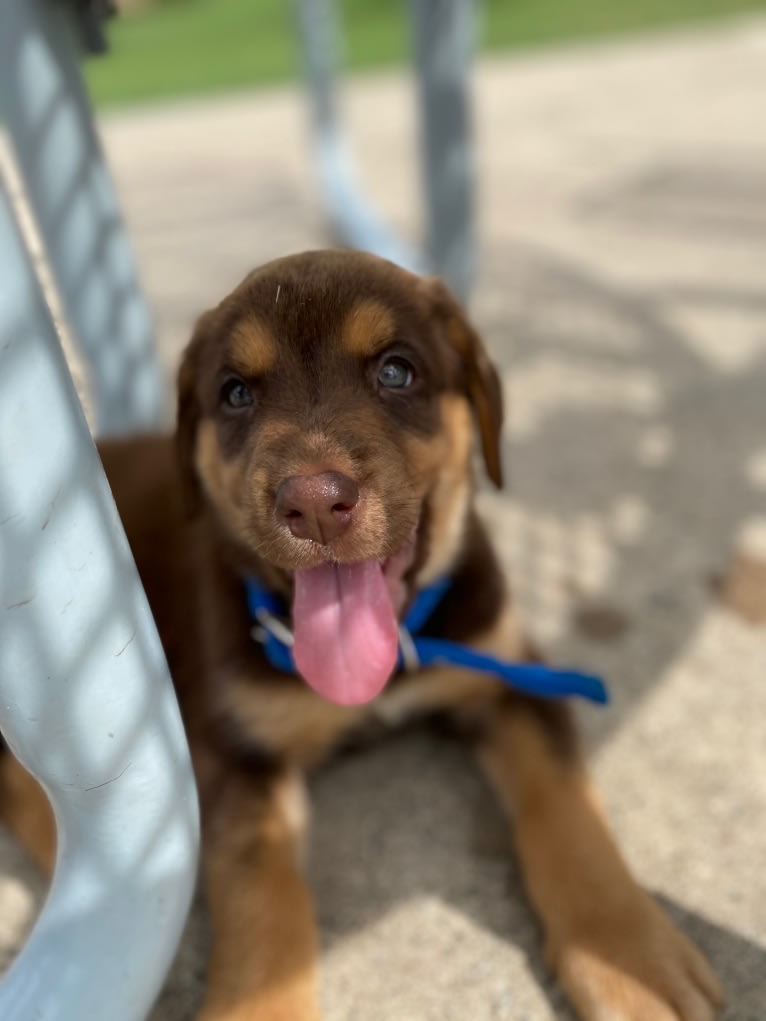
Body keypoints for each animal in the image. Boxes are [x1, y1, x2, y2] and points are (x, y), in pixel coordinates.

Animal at [0, 249, 723, 1021]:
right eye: (234, 394)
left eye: (396, 372)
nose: (315, 503)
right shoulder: (234, 751)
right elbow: (262, 896)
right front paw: (258, 1006)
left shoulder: (512, 675)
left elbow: (567, 810)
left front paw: (631, 958)